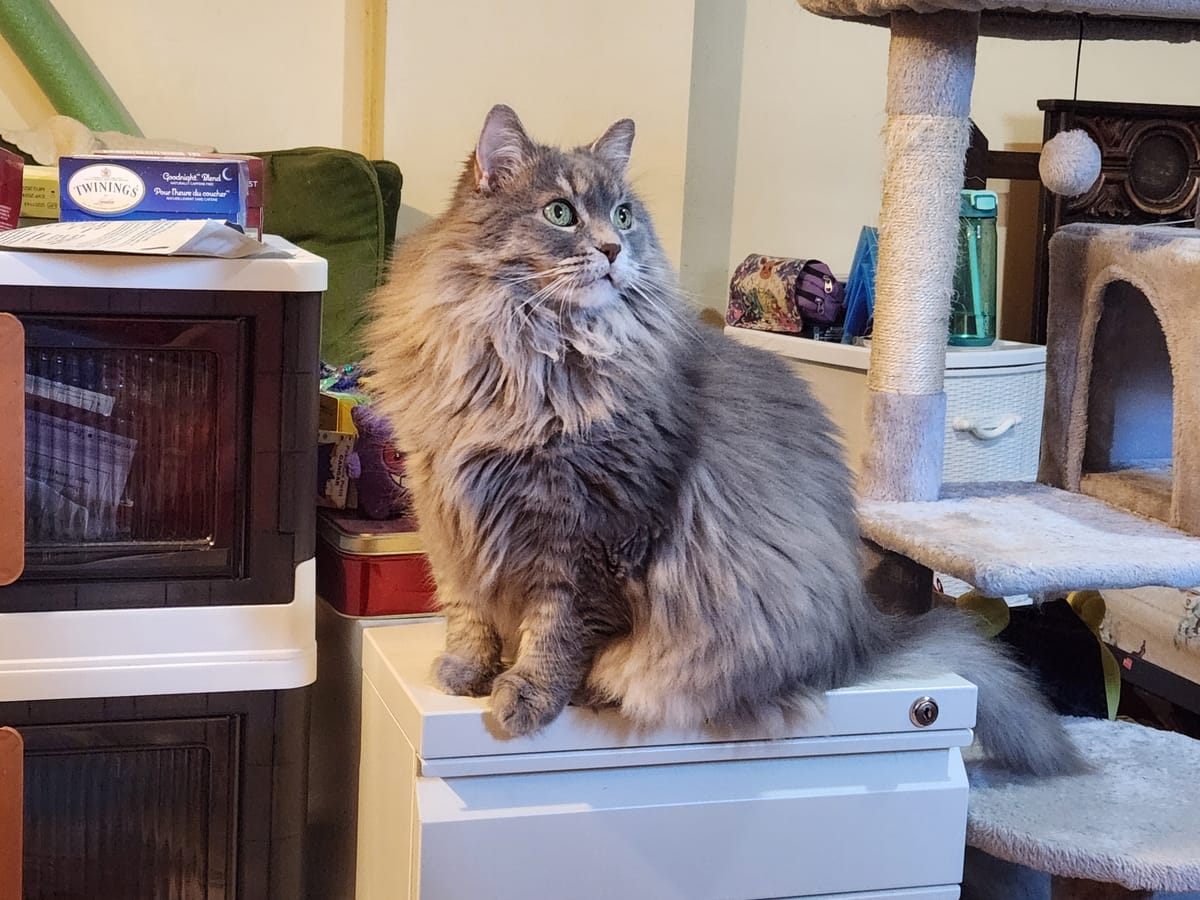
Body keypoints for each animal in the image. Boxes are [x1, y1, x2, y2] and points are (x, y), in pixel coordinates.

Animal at [364, 105, 1080, 777]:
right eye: (560, 213)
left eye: (623, 215)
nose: (612, 250)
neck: (527, 361)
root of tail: (862, 632)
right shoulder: (448, 510)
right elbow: (468, 610)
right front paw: (465, 671)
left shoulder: (590, 535)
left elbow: (555, 630)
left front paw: (524, 696)